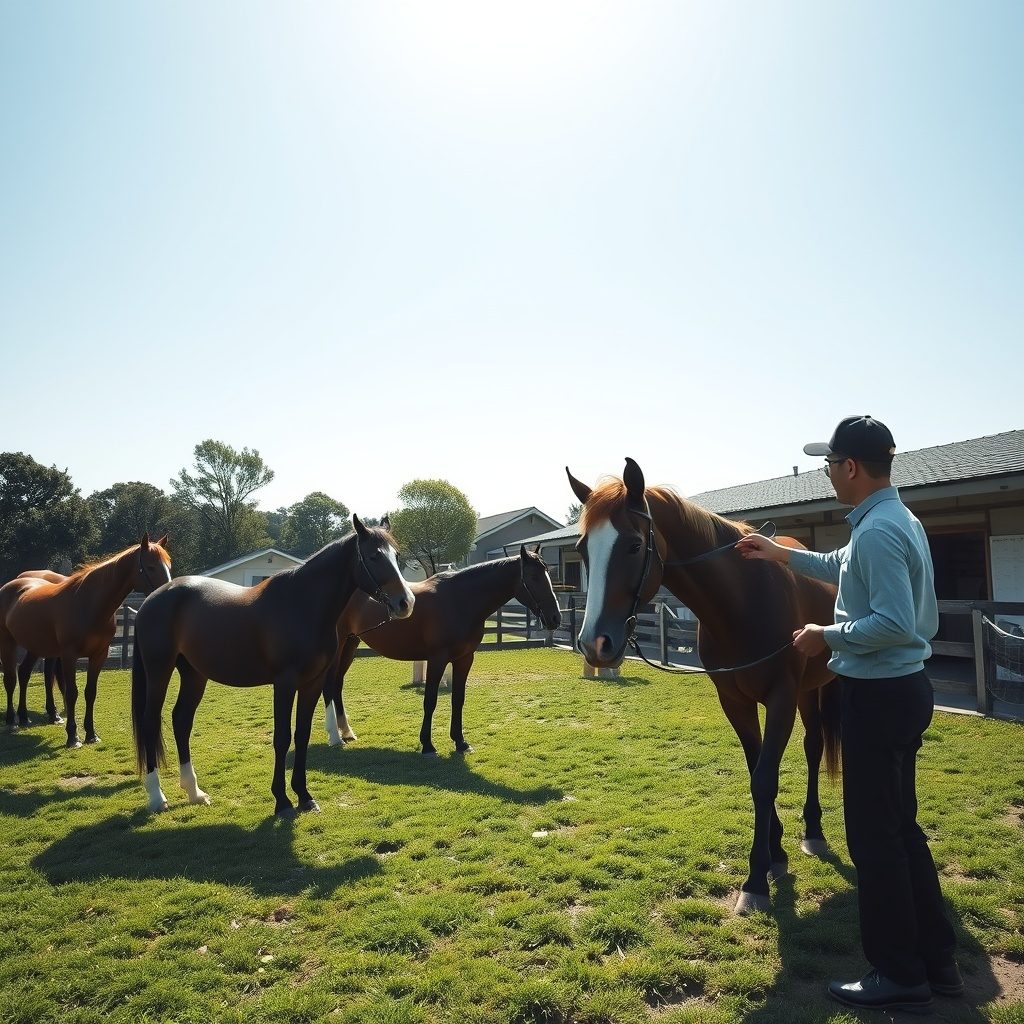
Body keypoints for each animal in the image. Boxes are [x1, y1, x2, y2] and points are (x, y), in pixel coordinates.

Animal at [0, 536, 171, 747]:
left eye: (169, 565)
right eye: (150, 566)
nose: (168, 594)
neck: (88, 604)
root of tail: (10, 585)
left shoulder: (99, 655)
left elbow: (90, 692)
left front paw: (91, 734)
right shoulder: (69, 656)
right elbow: (72, 693)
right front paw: (73, 736)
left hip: (35, 646)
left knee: (24, 673)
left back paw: (24, 717)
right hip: (8, 643)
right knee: (10, 679)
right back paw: (11, 721)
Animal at [131, 515, 415, 816]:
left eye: (396, 555)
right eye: (373, 556)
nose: (405, 602)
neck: (302, 605)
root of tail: (153, 598)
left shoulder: (312, 683)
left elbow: (302, 735)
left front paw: (304, 796)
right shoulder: (285, 683)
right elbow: (282, 738)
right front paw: (282, 801)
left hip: (194, 674)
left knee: (181, 720)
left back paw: (194, 792)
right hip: (159, 670)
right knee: (150, 722)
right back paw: (157, 797)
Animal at [323, 545, 562, 756]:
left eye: (548, 574)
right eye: (534, 577)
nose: (555, 618)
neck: (459, 600)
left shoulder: (465, 658)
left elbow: (458, 698)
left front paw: (460, 741)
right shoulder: (437, 659)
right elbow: (430, 700)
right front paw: (427, 745)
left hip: (351, 644)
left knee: (337, 685)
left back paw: (347, 732)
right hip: (338, 647)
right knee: (328, 686)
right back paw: (335, 737)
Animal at [566, 458, 839, 914]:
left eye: (634, 546)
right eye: (584, 549)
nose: (594, 645)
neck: (743, 602)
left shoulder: (781, 697)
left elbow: (765, 779)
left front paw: (755, 881)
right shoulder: (735, 702)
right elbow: (755, 772)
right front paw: (774, 856)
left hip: (812, 689)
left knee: (814, 746)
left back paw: (814, 832)